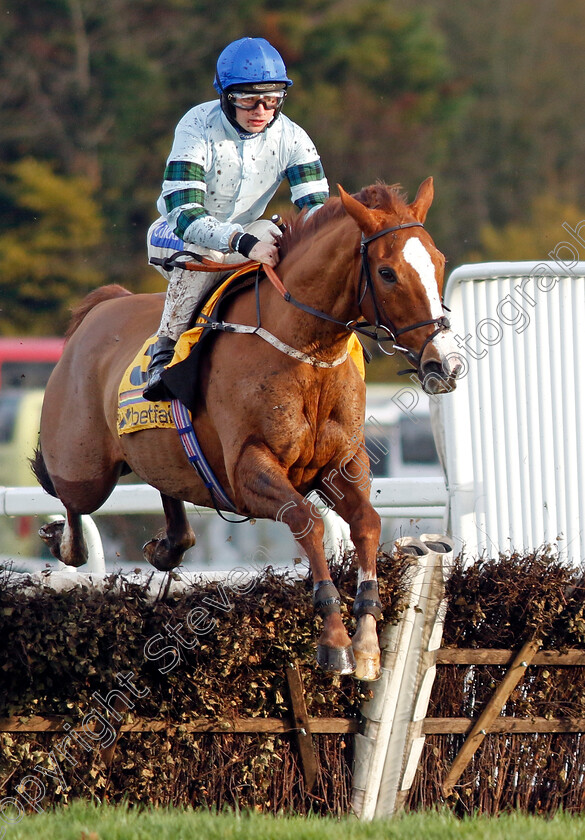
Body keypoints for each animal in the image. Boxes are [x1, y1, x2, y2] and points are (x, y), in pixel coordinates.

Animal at [33, 180, 460, 680]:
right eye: (388, 272)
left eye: (439, 261)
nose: (444, 363)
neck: (305, 349)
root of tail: (104, 306)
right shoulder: (248, 470)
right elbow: (307, 521)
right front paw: (335, 641)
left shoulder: (341, 463)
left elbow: (368, 523)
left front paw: (369, 641)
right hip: (85, 467)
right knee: (74, 512)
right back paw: (60, 539)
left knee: (169, 498)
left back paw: (167, 546)